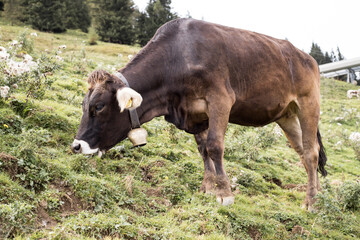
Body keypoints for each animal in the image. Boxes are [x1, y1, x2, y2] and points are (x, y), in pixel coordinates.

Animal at [71, 18, 328, 210]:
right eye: (85, 104)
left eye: (99, 106)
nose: (76, 146)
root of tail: (307, 57)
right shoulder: (195, 113)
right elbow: (203, 149)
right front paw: (208, 188)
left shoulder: (221, 99)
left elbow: (214, 146)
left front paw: (224, 193)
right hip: (286, 114)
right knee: (304, 151)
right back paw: (316, 194)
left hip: (308, 103)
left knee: (311, 152)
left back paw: (311, 203)